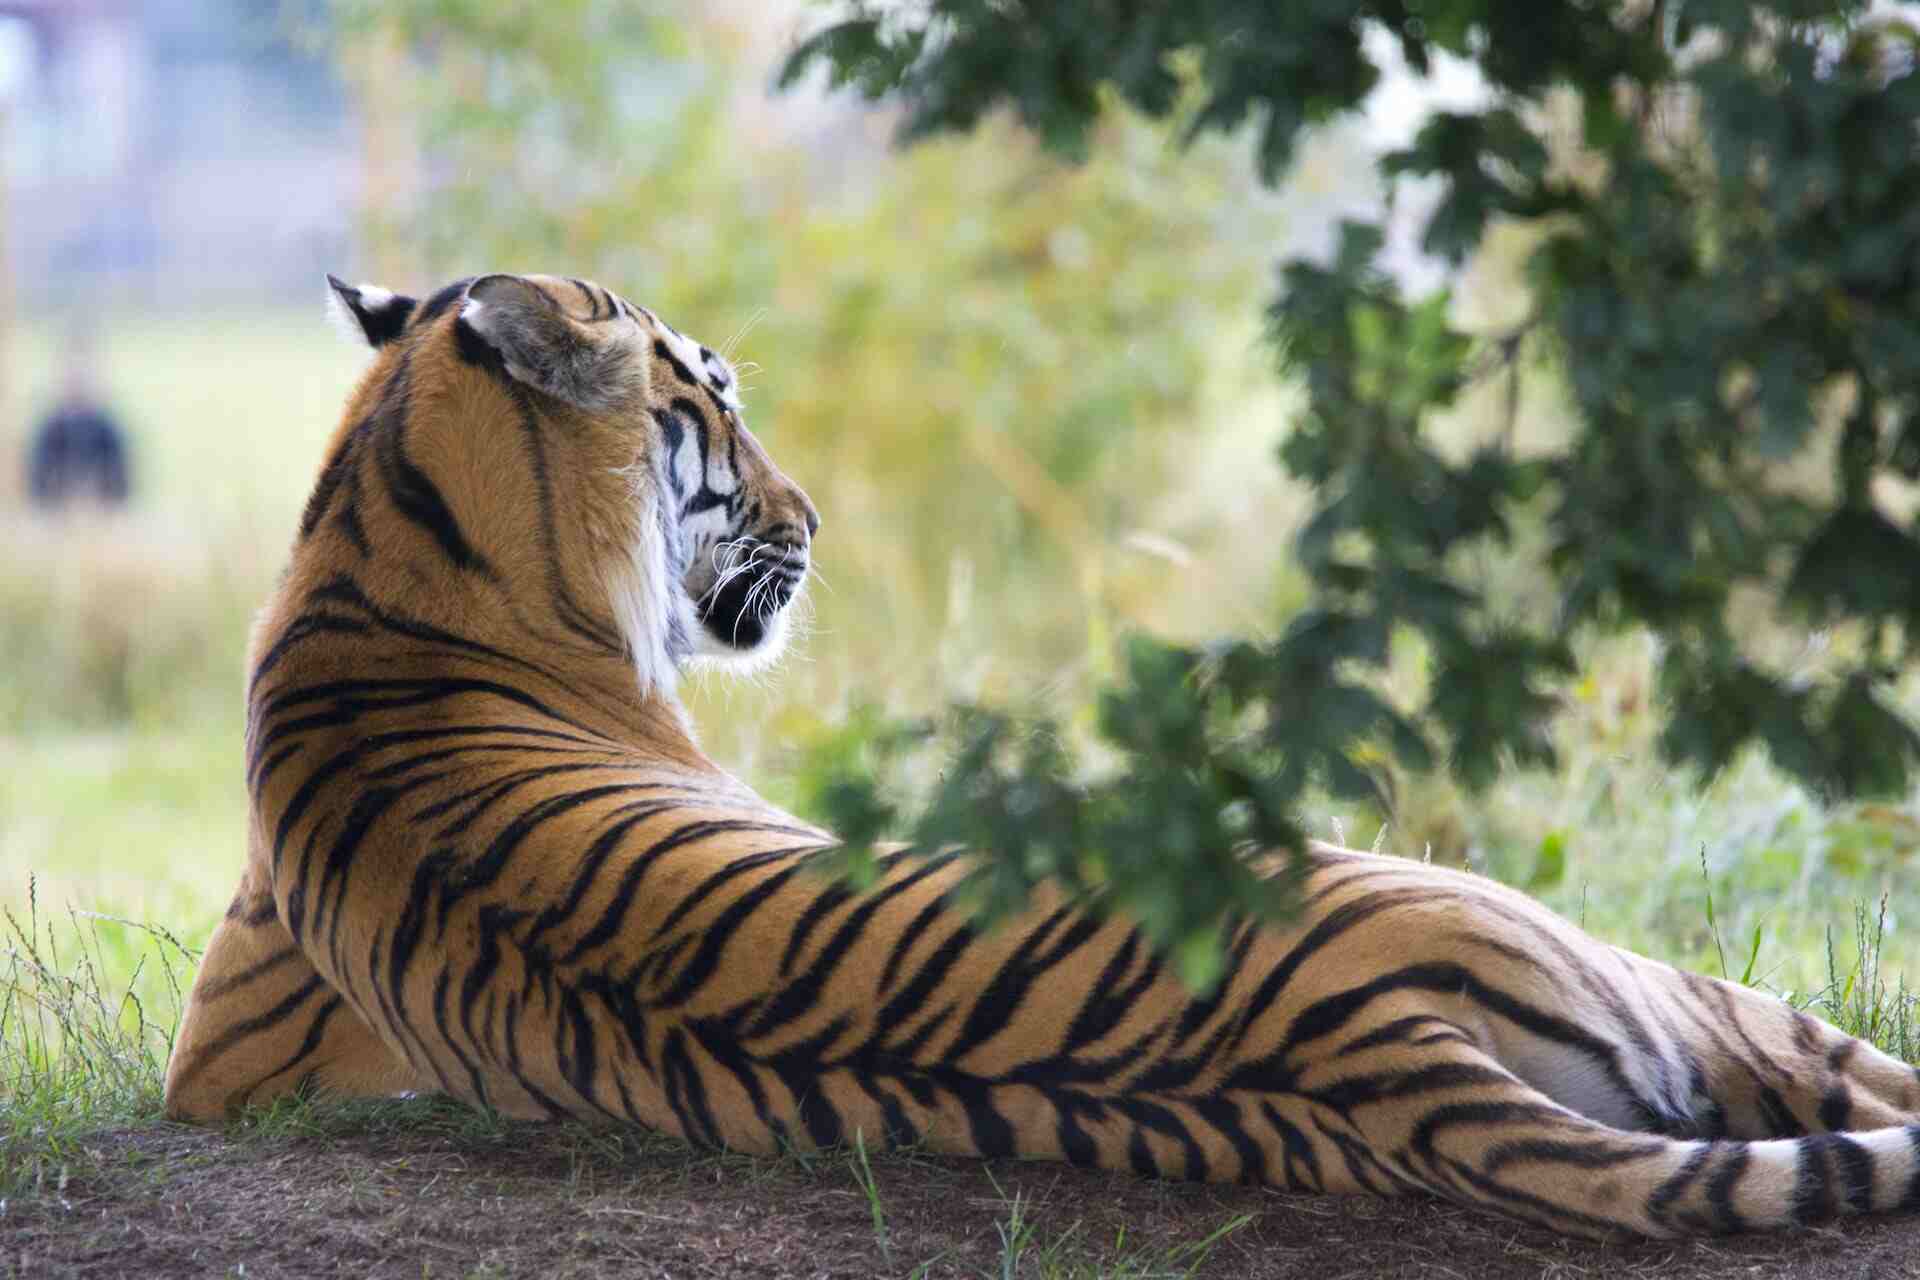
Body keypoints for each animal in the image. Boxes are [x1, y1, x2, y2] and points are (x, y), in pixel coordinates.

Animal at [165, 272, 1920, 1243]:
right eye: (713, 407)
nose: (817, 518)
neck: (380, 536)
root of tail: (1371, 1055)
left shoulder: (221, 1054)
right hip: (1612, 957)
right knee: (1849, 1068)